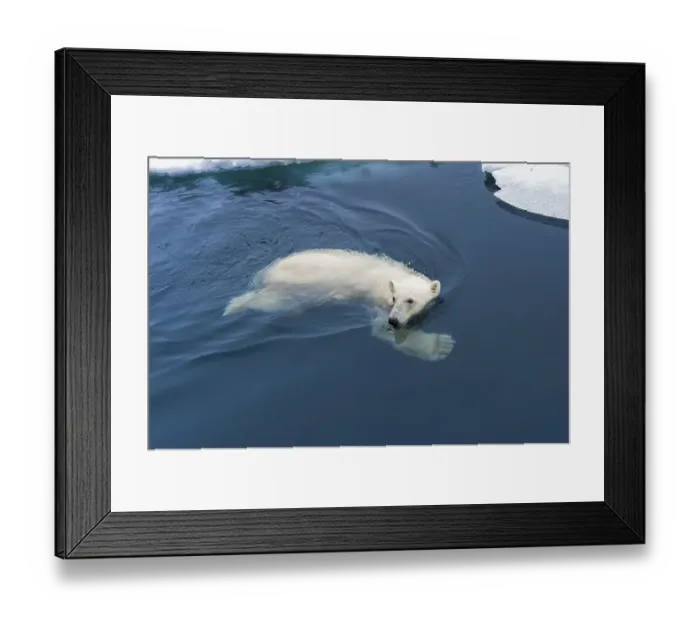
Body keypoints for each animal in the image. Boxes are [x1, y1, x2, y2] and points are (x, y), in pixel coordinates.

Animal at [223, 249, 455, 361]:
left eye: (410, 300)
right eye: (394, 298)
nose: (394, 321)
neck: (396, 275)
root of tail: (265, 274)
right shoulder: (378, 304)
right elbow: (381, 330)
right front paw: (442, 345)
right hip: (294, 291)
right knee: (271, 303)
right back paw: (233, 305)